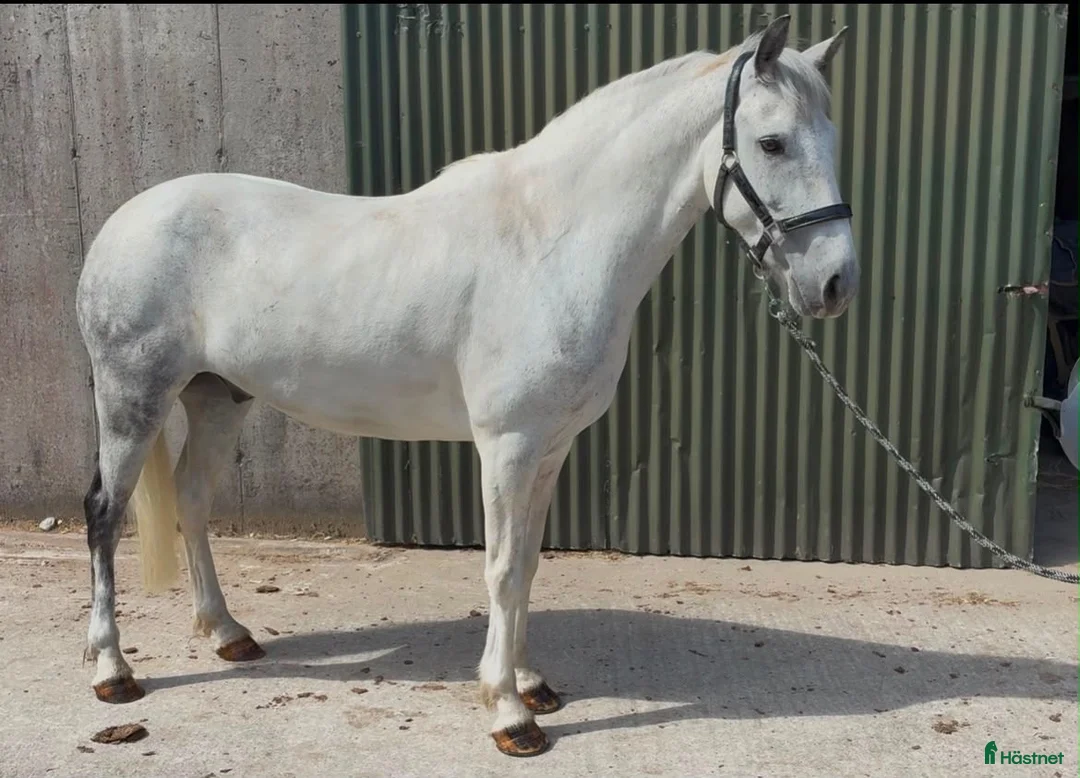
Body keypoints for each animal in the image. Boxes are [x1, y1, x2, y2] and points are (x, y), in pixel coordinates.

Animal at [74, 15, 856, 757]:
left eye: (832, 137)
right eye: (773, 143)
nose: (836, 284)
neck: (551, 243)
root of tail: (120, 224)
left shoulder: (550, 449)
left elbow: (530, 566)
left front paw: (532, 684)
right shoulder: (507, 446)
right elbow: (502, 570)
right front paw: (509, 713)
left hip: (216, 396)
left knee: (193, 500)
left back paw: (227, 633)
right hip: (131, 398)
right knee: (105, 514)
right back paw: (113, 670)